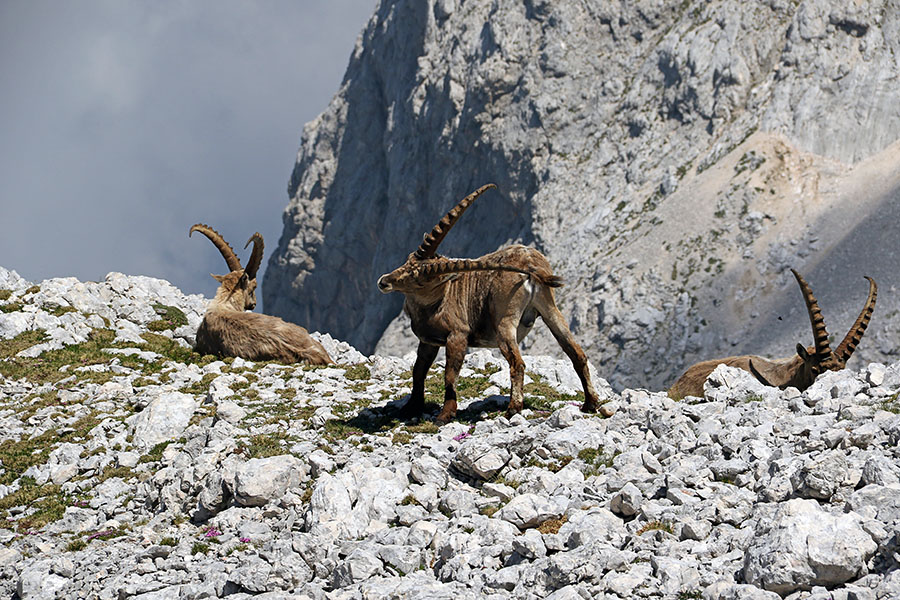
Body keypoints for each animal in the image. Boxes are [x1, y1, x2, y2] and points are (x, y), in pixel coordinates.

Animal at [377, 184, 613, 424]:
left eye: (420, 280)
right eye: (408, 259)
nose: (384, 281)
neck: (438, 300)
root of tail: (531, 266)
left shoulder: (457, 336)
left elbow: (450, 375)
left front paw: (445, 414)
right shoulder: (428, 342)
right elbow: (419, 371)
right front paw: (411, 407)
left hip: (504, 318)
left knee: (518, 363)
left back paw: (513, 408)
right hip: (550, 309)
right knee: (577, 354)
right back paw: (590, 404)